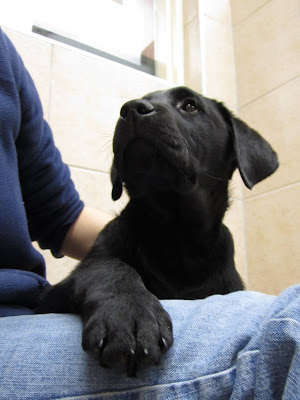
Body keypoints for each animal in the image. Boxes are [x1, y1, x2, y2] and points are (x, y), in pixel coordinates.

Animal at [37, 86, 278, 376]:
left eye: (190, 105)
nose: (131, 109)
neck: (176, 236)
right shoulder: (60, 287)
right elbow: (112, 267)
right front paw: (129, 315)